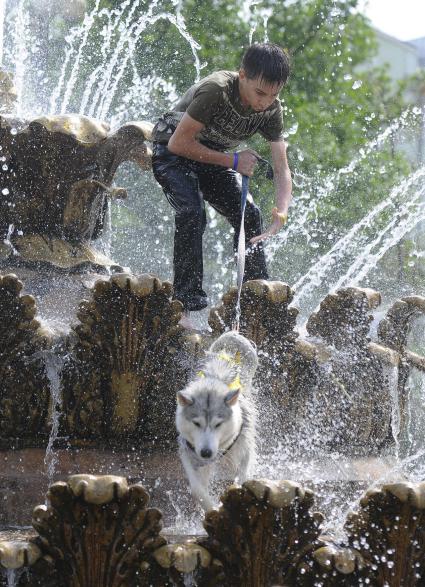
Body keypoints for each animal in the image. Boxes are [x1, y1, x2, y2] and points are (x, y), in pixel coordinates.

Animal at [174, 334, 256, 512]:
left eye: (218, 424)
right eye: (196, 423)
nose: (206, 452)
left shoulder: (245, 447)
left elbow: (241, 479)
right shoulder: (189, 452)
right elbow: (197, 489)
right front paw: (212, 509)